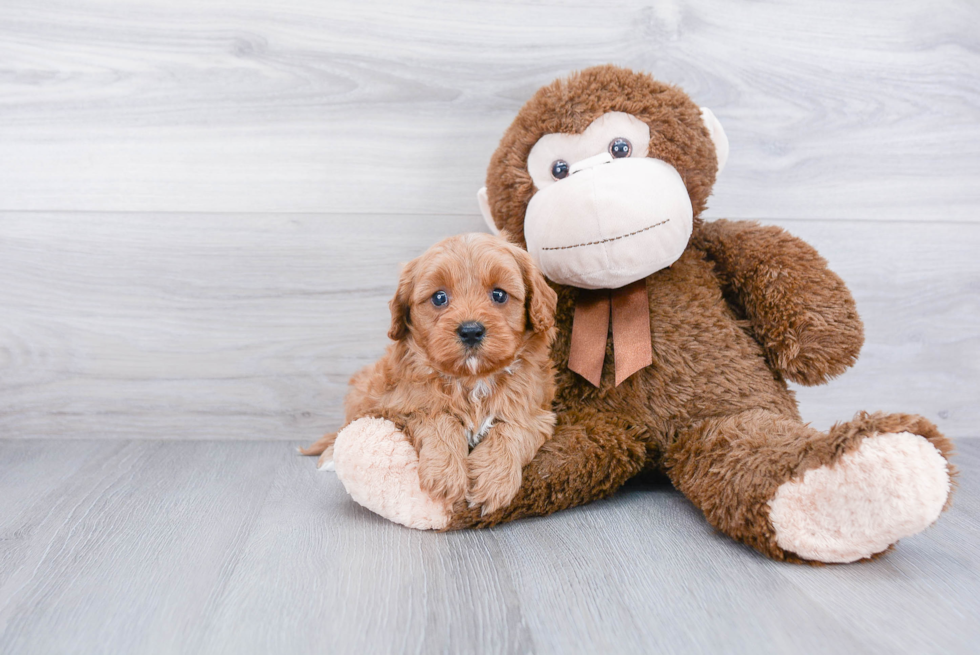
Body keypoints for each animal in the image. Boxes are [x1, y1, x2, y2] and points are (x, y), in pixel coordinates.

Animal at [302, 233, 556, 516]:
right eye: (439, 297)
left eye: (499, 295)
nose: (471, 331)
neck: (471, 379)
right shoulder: (401, 405)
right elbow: (438, 417)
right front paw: (446, 475)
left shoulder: (535, 412)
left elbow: (512, 429)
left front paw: (494, 481)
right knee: (345, 426)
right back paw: (329, 456)